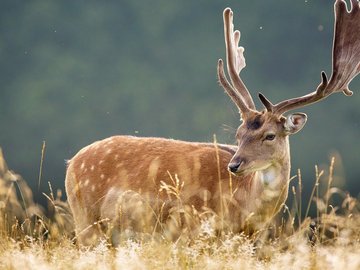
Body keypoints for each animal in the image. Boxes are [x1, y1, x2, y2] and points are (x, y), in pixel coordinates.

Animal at [65, 0, 360, 246]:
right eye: (239, 134)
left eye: (270, 135)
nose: (235, 165)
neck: (244, 209)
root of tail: (72, 162)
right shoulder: (193, 227)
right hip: (86, 220)